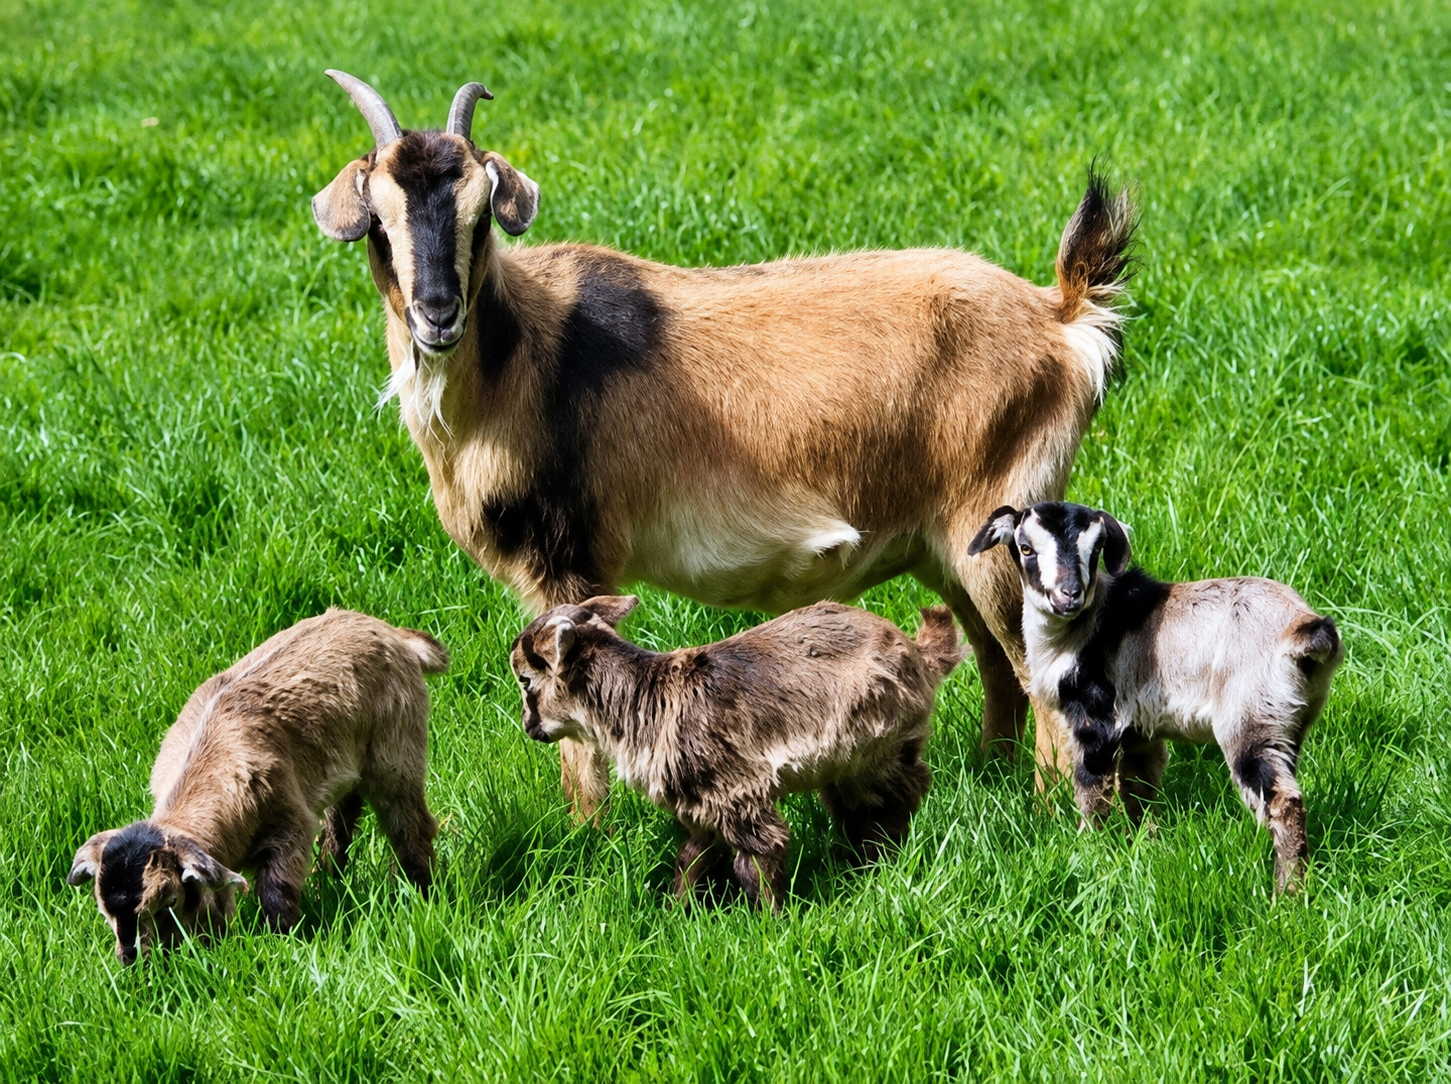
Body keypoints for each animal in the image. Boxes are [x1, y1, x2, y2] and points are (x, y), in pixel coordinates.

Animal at [67, 609, 447, 962]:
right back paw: (330, 873)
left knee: (409, 823)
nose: (131, 959)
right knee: (345, 811)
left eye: (169, 900)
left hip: (396, 750)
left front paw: (279, 939)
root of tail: (391, 632)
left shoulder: (289, 824)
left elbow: (277, 891)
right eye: (104, 910)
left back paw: (422, 888)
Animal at [312, 71, 1138, 820]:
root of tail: (1060, 316)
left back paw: (1052, 812)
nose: (438, 313)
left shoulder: (568, 560)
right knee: (999, 667)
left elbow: (577, 738)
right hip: (951, 547)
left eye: (479, 216)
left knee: (1039, 677)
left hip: (1006, 522)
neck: (520, 359)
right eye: (378, 220)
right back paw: (992, 774)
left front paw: (588, 835)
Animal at [509, 596, 963, 909]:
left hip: (878, 743)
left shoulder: (734, 790)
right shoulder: (700, 805)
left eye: (525, 680)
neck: (643, 701)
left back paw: (885, 849)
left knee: (901, 790)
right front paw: (678, 909)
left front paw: (772, 918)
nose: (528, 726)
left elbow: (760, 855)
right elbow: (691, 858)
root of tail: (921, 652)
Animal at [968, 502, 1343, 892]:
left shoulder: (1096, 718)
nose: (1069, 594)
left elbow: (1091, 789)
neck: (1078, 631)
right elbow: (1138, 788)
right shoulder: (1139, 731)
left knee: (1282, 801)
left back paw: (1286, 894)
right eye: (1026, 548)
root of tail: (1305, 629)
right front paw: (1146, 846)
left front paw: (1088, 850)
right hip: (1291, 721)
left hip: (1250, 718)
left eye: (1095, 549)